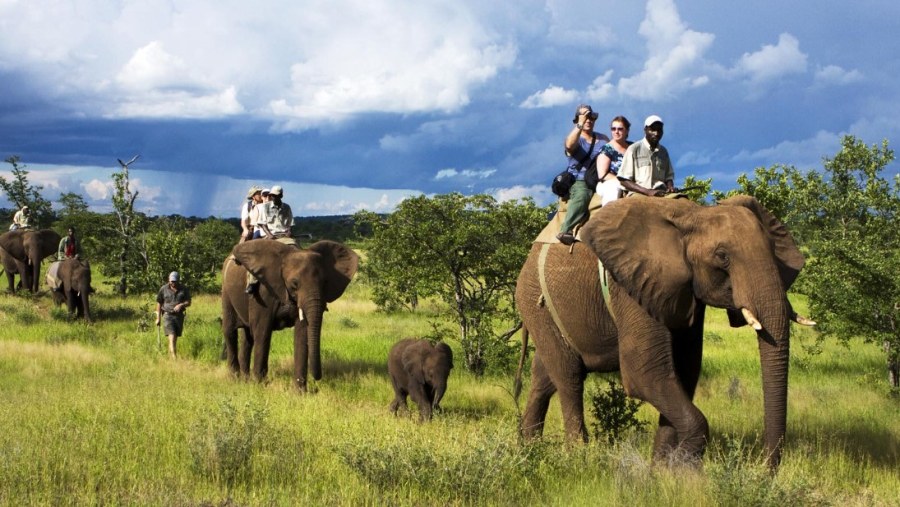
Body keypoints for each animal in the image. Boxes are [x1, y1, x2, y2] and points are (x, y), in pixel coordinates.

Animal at [221, 240, 358, 390]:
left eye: (325, 283)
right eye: (294, 284)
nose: (316, 384)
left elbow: (302, 334)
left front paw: (300, 391)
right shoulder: (264, 293)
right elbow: (262, 332)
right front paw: (260, 386)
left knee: (247, 337)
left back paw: (245, 380)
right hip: (226, 291)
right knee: (230, 331)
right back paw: (235, 379)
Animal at [516, 194, 812, 468]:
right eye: (722, 257)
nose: (763, 470)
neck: (694, 215)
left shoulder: (684, 292)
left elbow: (684, 370)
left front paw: (661, 471)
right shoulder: (631, 283)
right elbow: (645, 372)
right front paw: (684, 472)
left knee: (544, 376)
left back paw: (530, 449)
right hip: (535, 302)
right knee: (569, 377)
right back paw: (577, 456)